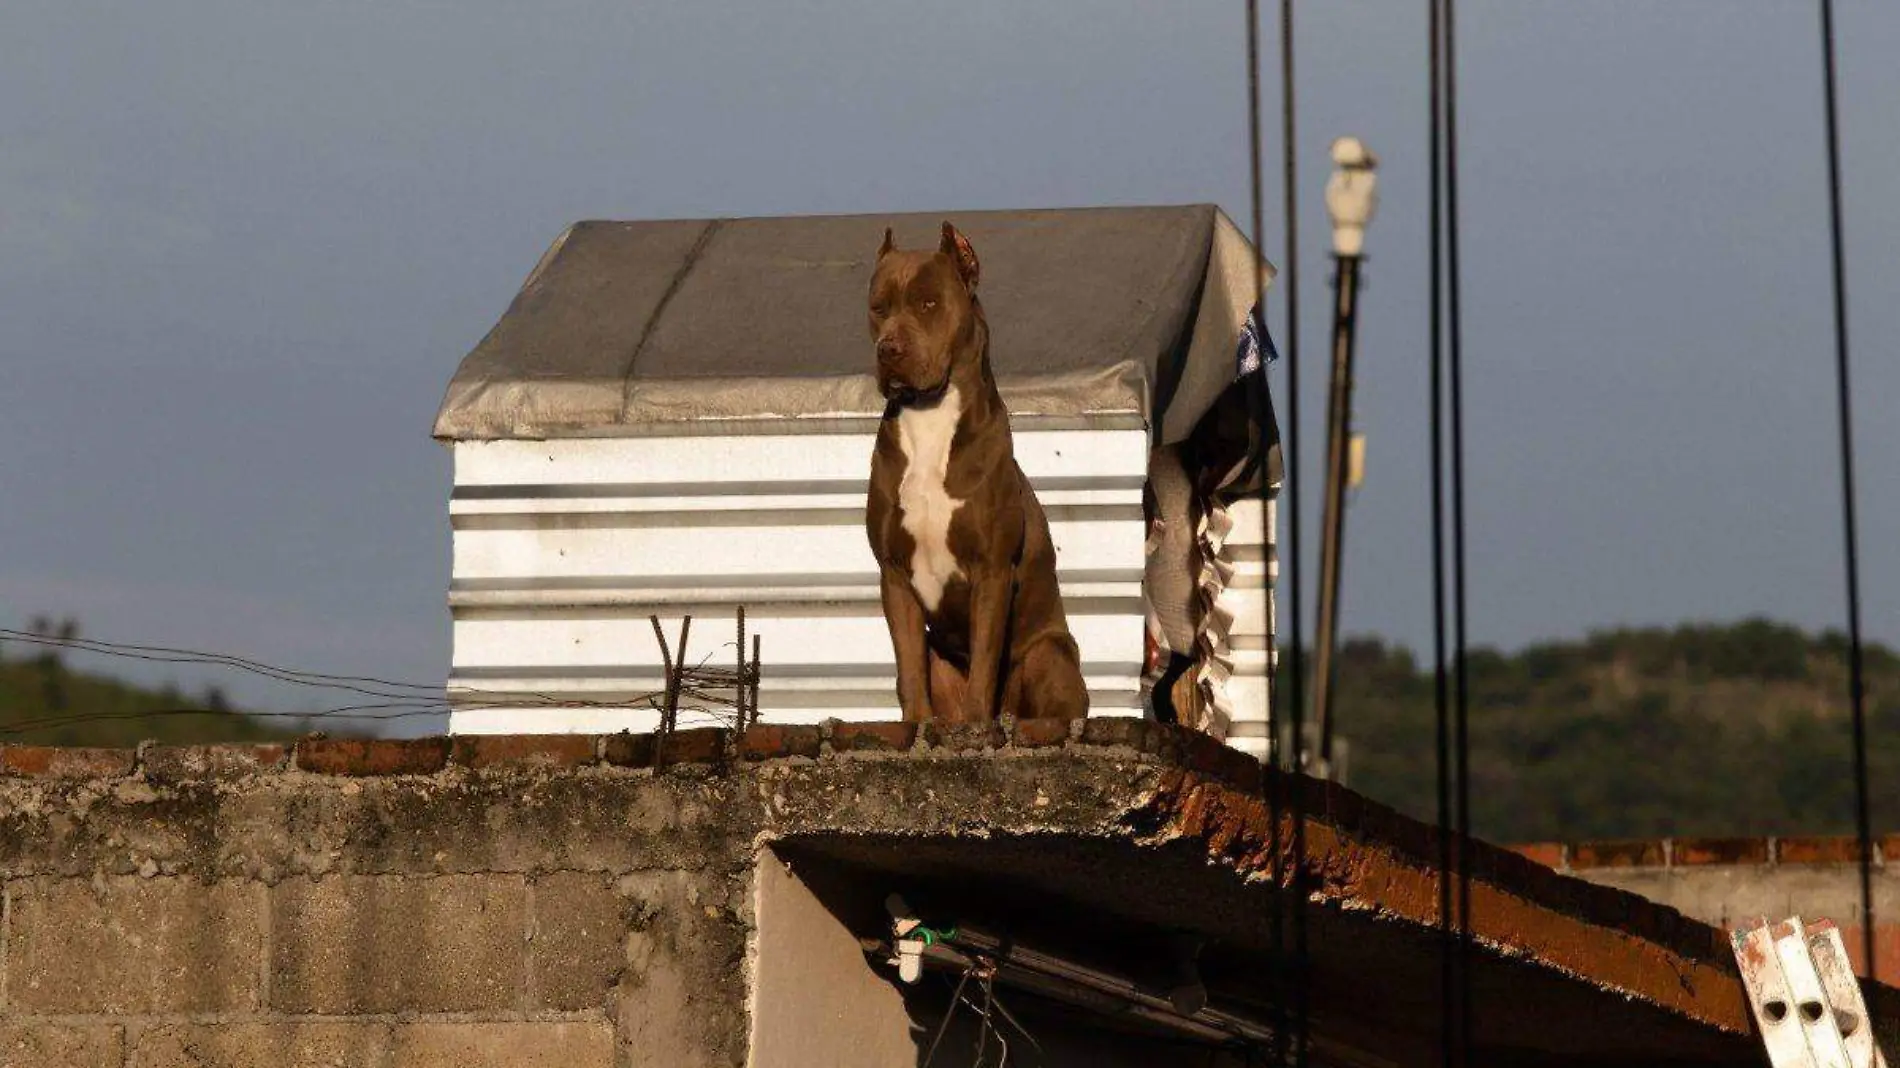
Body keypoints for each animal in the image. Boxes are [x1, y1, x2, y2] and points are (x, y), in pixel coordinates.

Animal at [870, 223, 1094, 722]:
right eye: (877, 308)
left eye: (928, 303)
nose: (887, 348)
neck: (930, 415)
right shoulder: (894, 574)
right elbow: (908, 668)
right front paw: (915, 724)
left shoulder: (992, 570)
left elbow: (986, 661)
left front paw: (976, 725)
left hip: (1049, 653)